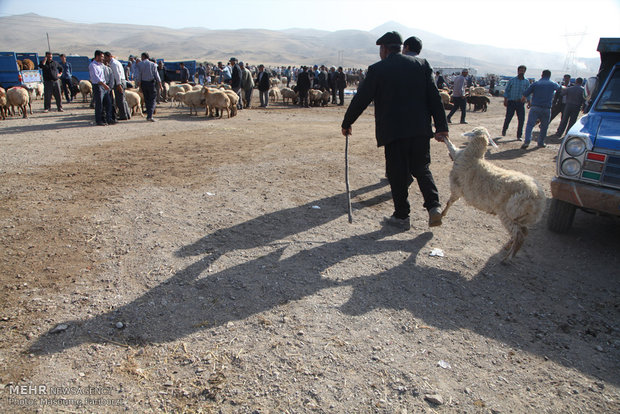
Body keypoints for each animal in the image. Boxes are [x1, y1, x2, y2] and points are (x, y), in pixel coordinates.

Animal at [440, 127, 544, 262]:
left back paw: (507, 258)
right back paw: (508, 247)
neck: (474, 156)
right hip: (521, 218)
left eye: (473, 131)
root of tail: (539, 200)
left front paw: (442, 213)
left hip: (508, 214)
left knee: (519, 236)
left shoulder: (456, 185)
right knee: (523, 232)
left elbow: (450, 201)